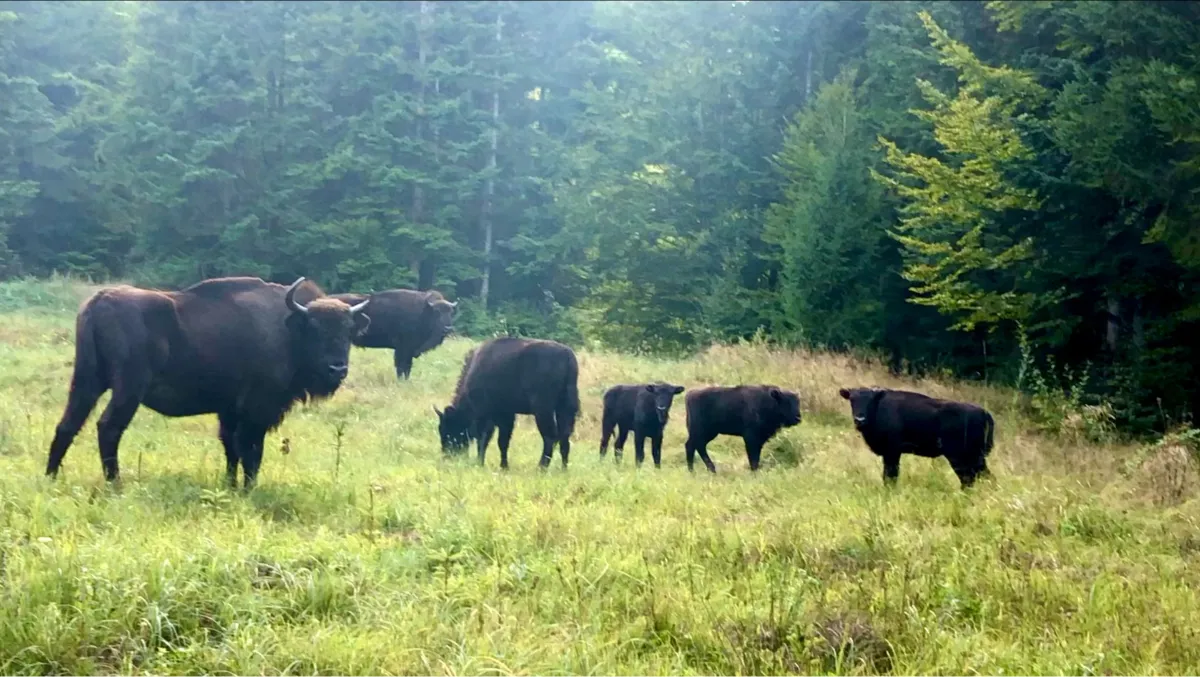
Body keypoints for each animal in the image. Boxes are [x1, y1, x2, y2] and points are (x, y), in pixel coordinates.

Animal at [45, 274, 369, 487]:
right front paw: (249, 488)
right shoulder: (257, 410)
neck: (287, 329)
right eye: (315, 329)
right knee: (108, 427)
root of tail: (99, 301)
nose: (337, 368)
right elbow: (250, 449)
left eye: (348, 331)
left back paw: (51, 477)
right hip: (128, 388)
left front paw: (230, 485)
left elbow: (230, 448)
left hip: (87, 381)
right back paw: (115, 483)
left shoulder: (229, 409)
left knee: (67, 425)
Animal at [434, 336, 578, 468]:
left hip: (543, 410)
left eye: (447, 428)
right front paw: (504, 466)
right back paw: (563, 468)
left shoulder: (486, 414)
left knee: (550, 436)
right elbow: (503, 441)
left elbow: (484, 439)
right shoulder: (507, 415)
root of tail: (567, 355)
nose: (447, 455)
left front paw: (480, 463)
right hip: (565, 409)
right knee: (564, 436)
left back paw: (541, 467)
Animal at [835, 386, 993, 487]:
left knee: (969, 478)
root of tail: (984, 412)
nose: (859, 419)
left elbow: (890, 475)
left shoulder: (892, 452)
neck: (879, 408)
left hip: (961, 456)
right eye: (852, 400)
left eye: (871, 400)